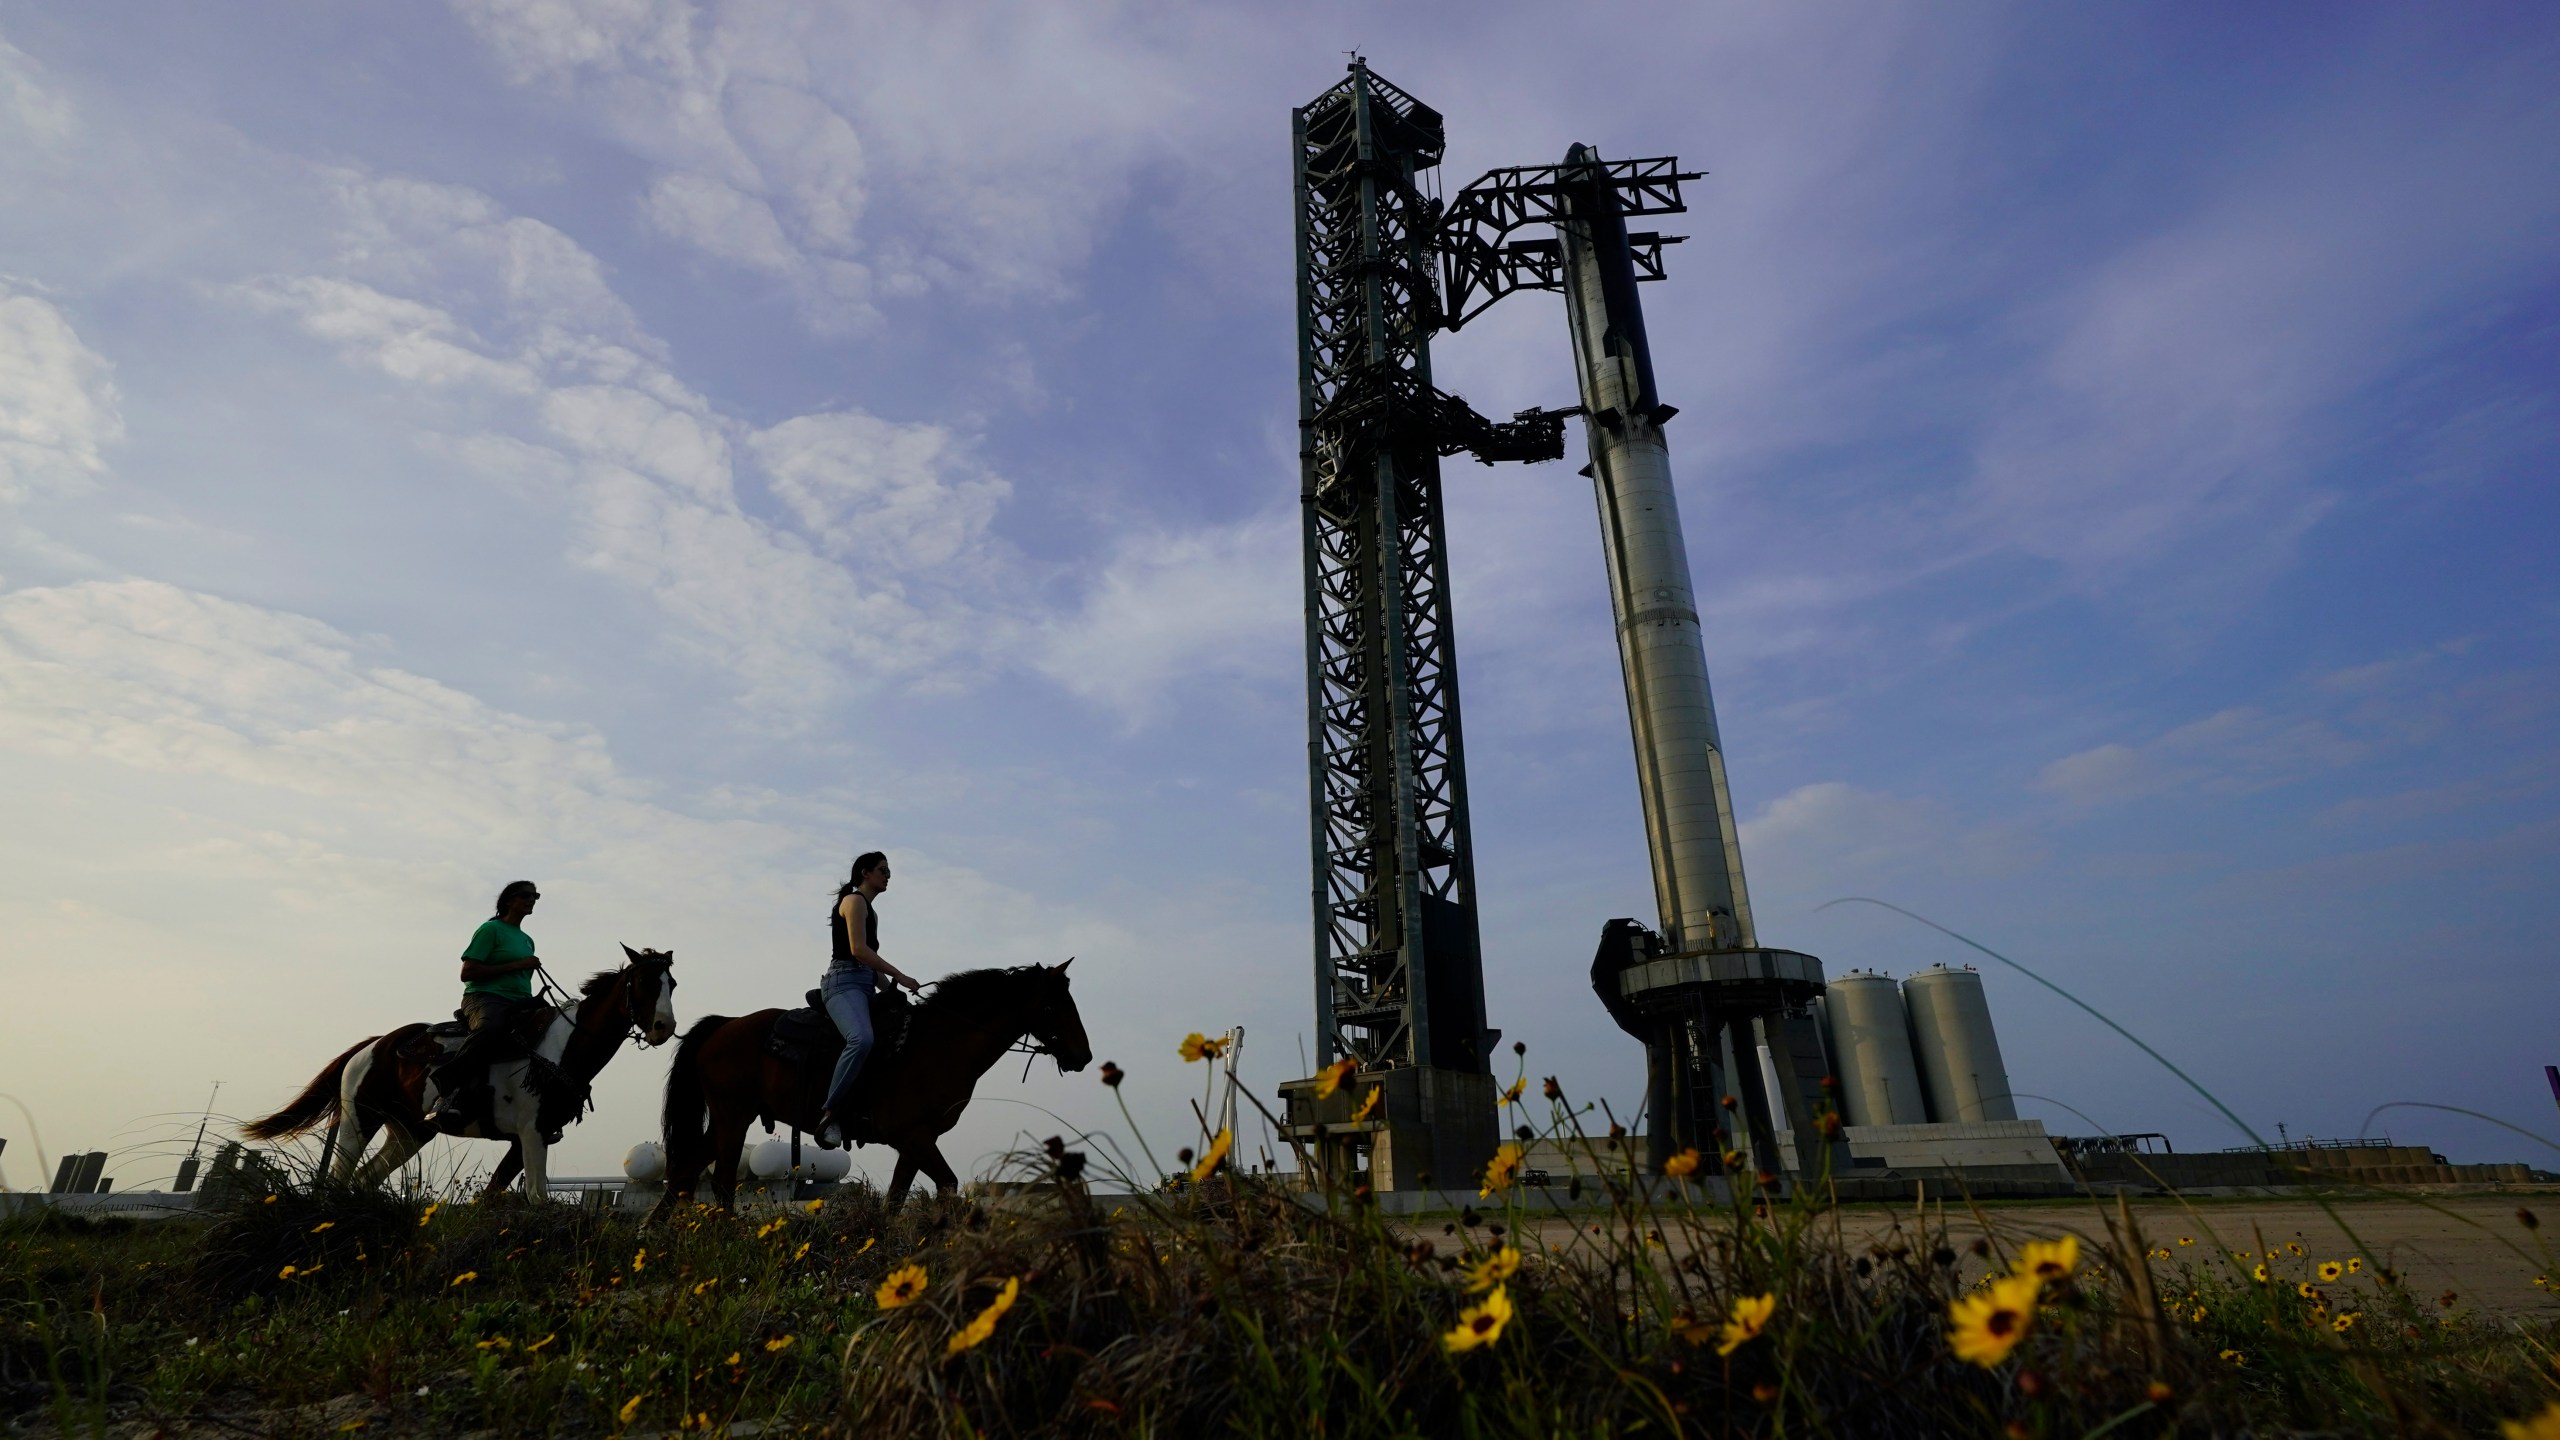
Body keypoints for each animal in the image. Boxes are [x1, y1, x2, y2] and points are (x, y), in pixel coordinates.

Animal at [240, 942, 675, 1199]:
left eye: (672, 982)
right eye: (642, 980)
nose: (663, 1027)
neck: (562, 1047)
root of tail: (371, 1046)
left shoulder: (532, 1136)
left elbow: (498, 1195)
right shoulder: (532, 1133)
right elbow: (535, 1196)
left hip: (410, 1131)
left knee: (365, 1178)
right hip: (359, 1119)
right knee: (340, 1176)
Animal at [650, 958, 1090, 1214]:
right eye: (1052, 1004)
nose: (1083, 1055)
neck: (938, 1043)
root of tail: (723, 1025)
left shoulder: (916, 1141)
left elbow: (896, 1200)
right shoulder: (913, 1136)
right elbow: (946, 1184)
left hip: (725, 1121)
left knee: (685, 1174)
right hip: (733, 1117)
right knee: (721, 1184)